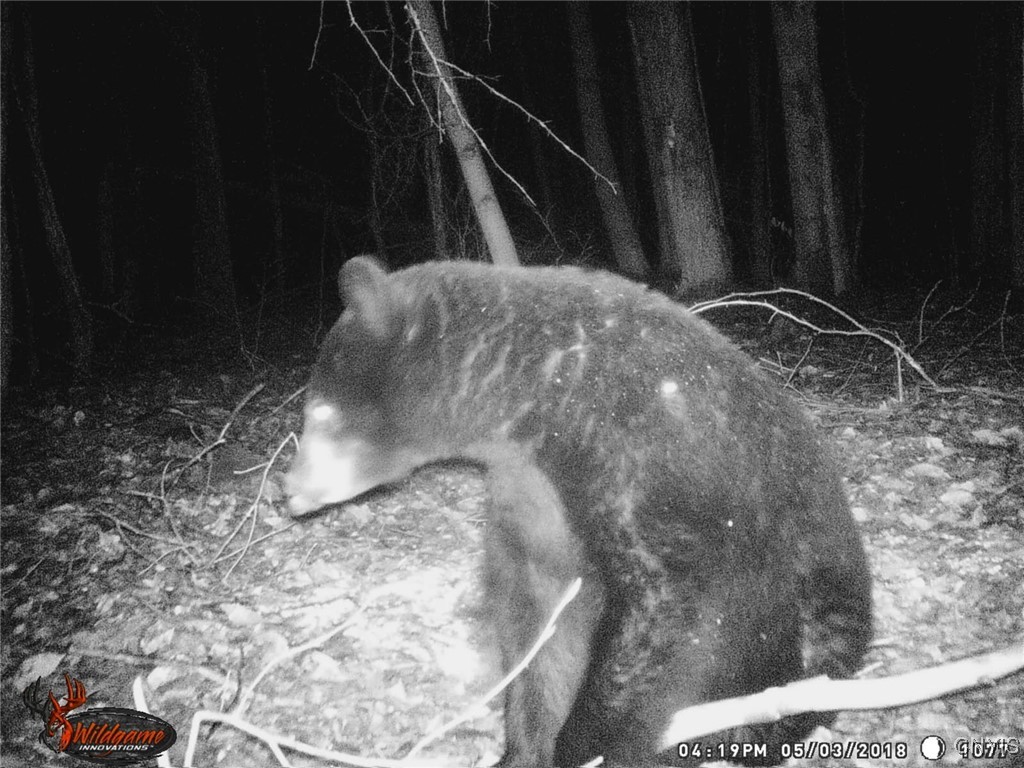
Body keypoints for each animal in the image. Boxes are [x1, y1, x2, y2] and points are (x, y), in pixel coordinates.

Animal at [285, 256, 872, 767]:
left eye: (321, 411)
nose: (287, 491)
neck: (544, 394)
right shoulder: (533, 496)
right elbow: (542, 624)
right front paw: (526, 746)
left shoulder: (650, 453)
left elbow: (674, 608)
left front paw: (588, 744)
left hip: (819, 594)